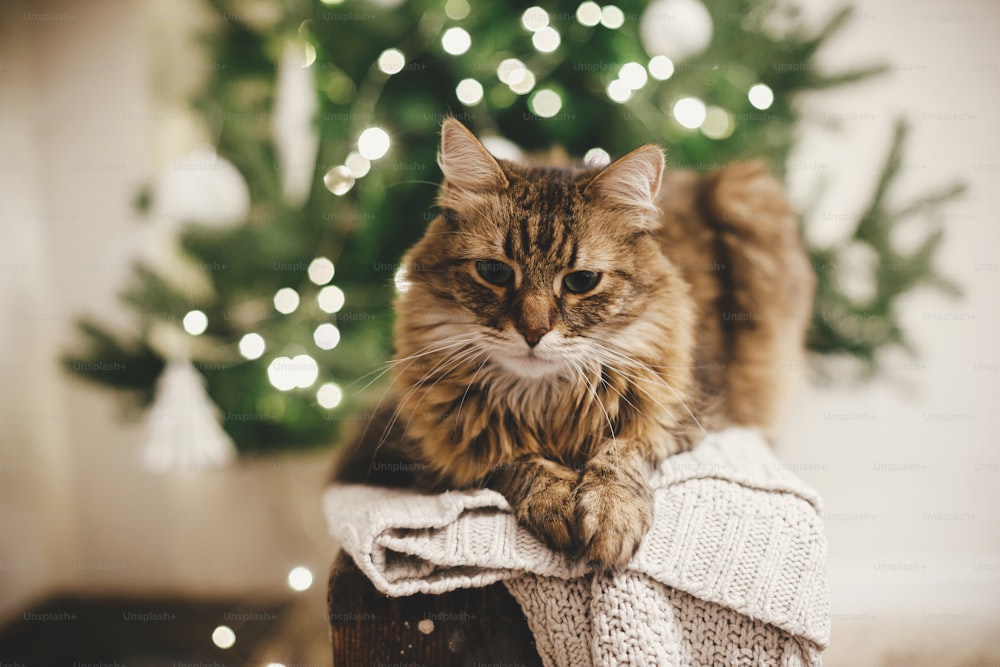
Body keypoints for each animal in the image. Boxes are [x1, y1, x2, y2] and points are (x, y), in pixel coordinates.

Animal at [332, 118, 816, 568]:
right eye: (495, 272)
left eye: (581, 281)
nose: (532, 332)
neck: (543, 399)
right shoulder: (453, 454)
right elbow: (517, 460)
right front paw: (557, 501)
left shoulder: (685, 415)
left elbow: (621, 453)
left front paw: (610, 515)